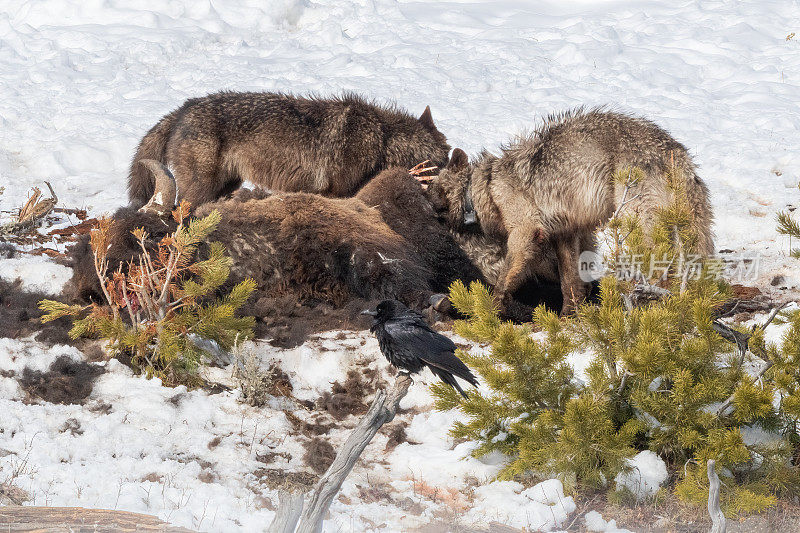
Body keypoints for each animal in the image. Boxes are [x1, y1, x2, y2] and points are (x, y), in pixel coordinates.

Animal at [126, 91, 450, 208]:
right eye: (445, 164)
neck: (382, 138)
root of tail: (182, 109)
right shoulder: (337, 193)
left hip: (226, 185)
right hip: (201, 189)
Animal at [428, 108, 716, 316]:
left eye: (431, 191)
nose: (427, 210)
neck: (484, 187)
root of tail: (677, 155)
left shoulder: (526, 231)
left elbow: (504, 279)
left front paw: (491, 309)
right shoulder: (567, 234)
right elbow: (570, 282)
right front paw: (570, 314)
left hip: (635, 223)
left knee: (661, 269)